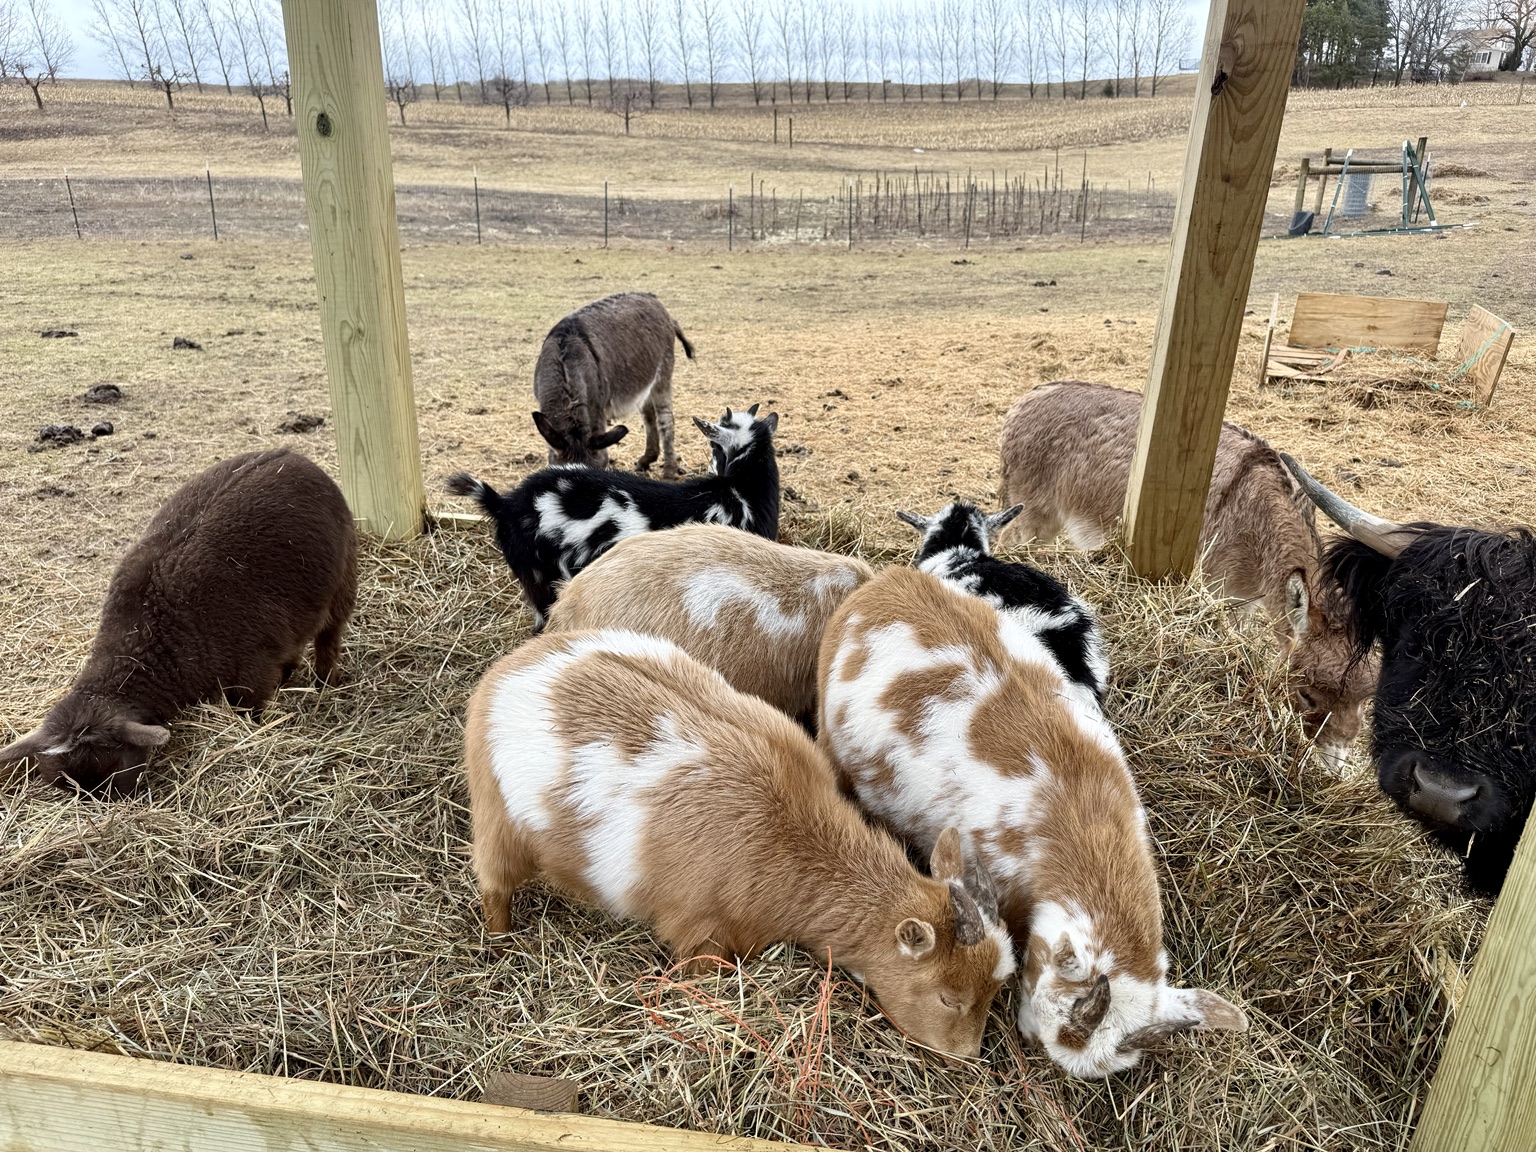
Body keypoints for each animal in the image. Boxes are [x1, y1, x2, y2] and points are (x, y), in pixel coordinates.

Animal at [0, 449, 357, 793]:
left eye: (115, 765)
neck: (154, 633)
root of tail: (294, 455)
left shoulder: (253, 668)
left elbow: (249, 709)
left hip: (345, 574)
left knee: (329, 634)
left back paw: (325, 681)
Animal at [464, 627, 1014, 1057]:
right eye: (948, 997)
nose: (967, 1055)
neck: (795, 841)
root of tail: (509, 670)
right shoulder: (700, 933)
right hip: (497, 821)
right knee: (494, 884)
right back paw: (501, 939)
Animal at [532, 292, 694, 478]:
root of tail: (653, 298)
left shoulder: (597, 413)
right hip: (645, 382)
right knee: (649, 416)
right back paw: (646, 460)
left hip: (663, 376)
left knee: (665, 421)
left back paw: (669, 472)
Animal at [998, 380, 1375, 762]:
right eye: (1306, 695)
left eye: (1365, 698)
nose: (1334, 764)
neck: (1256, 518)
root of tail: (1028, 398)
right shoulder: (1212, 590)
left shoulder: (1242, 601)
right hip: (1033, 516)